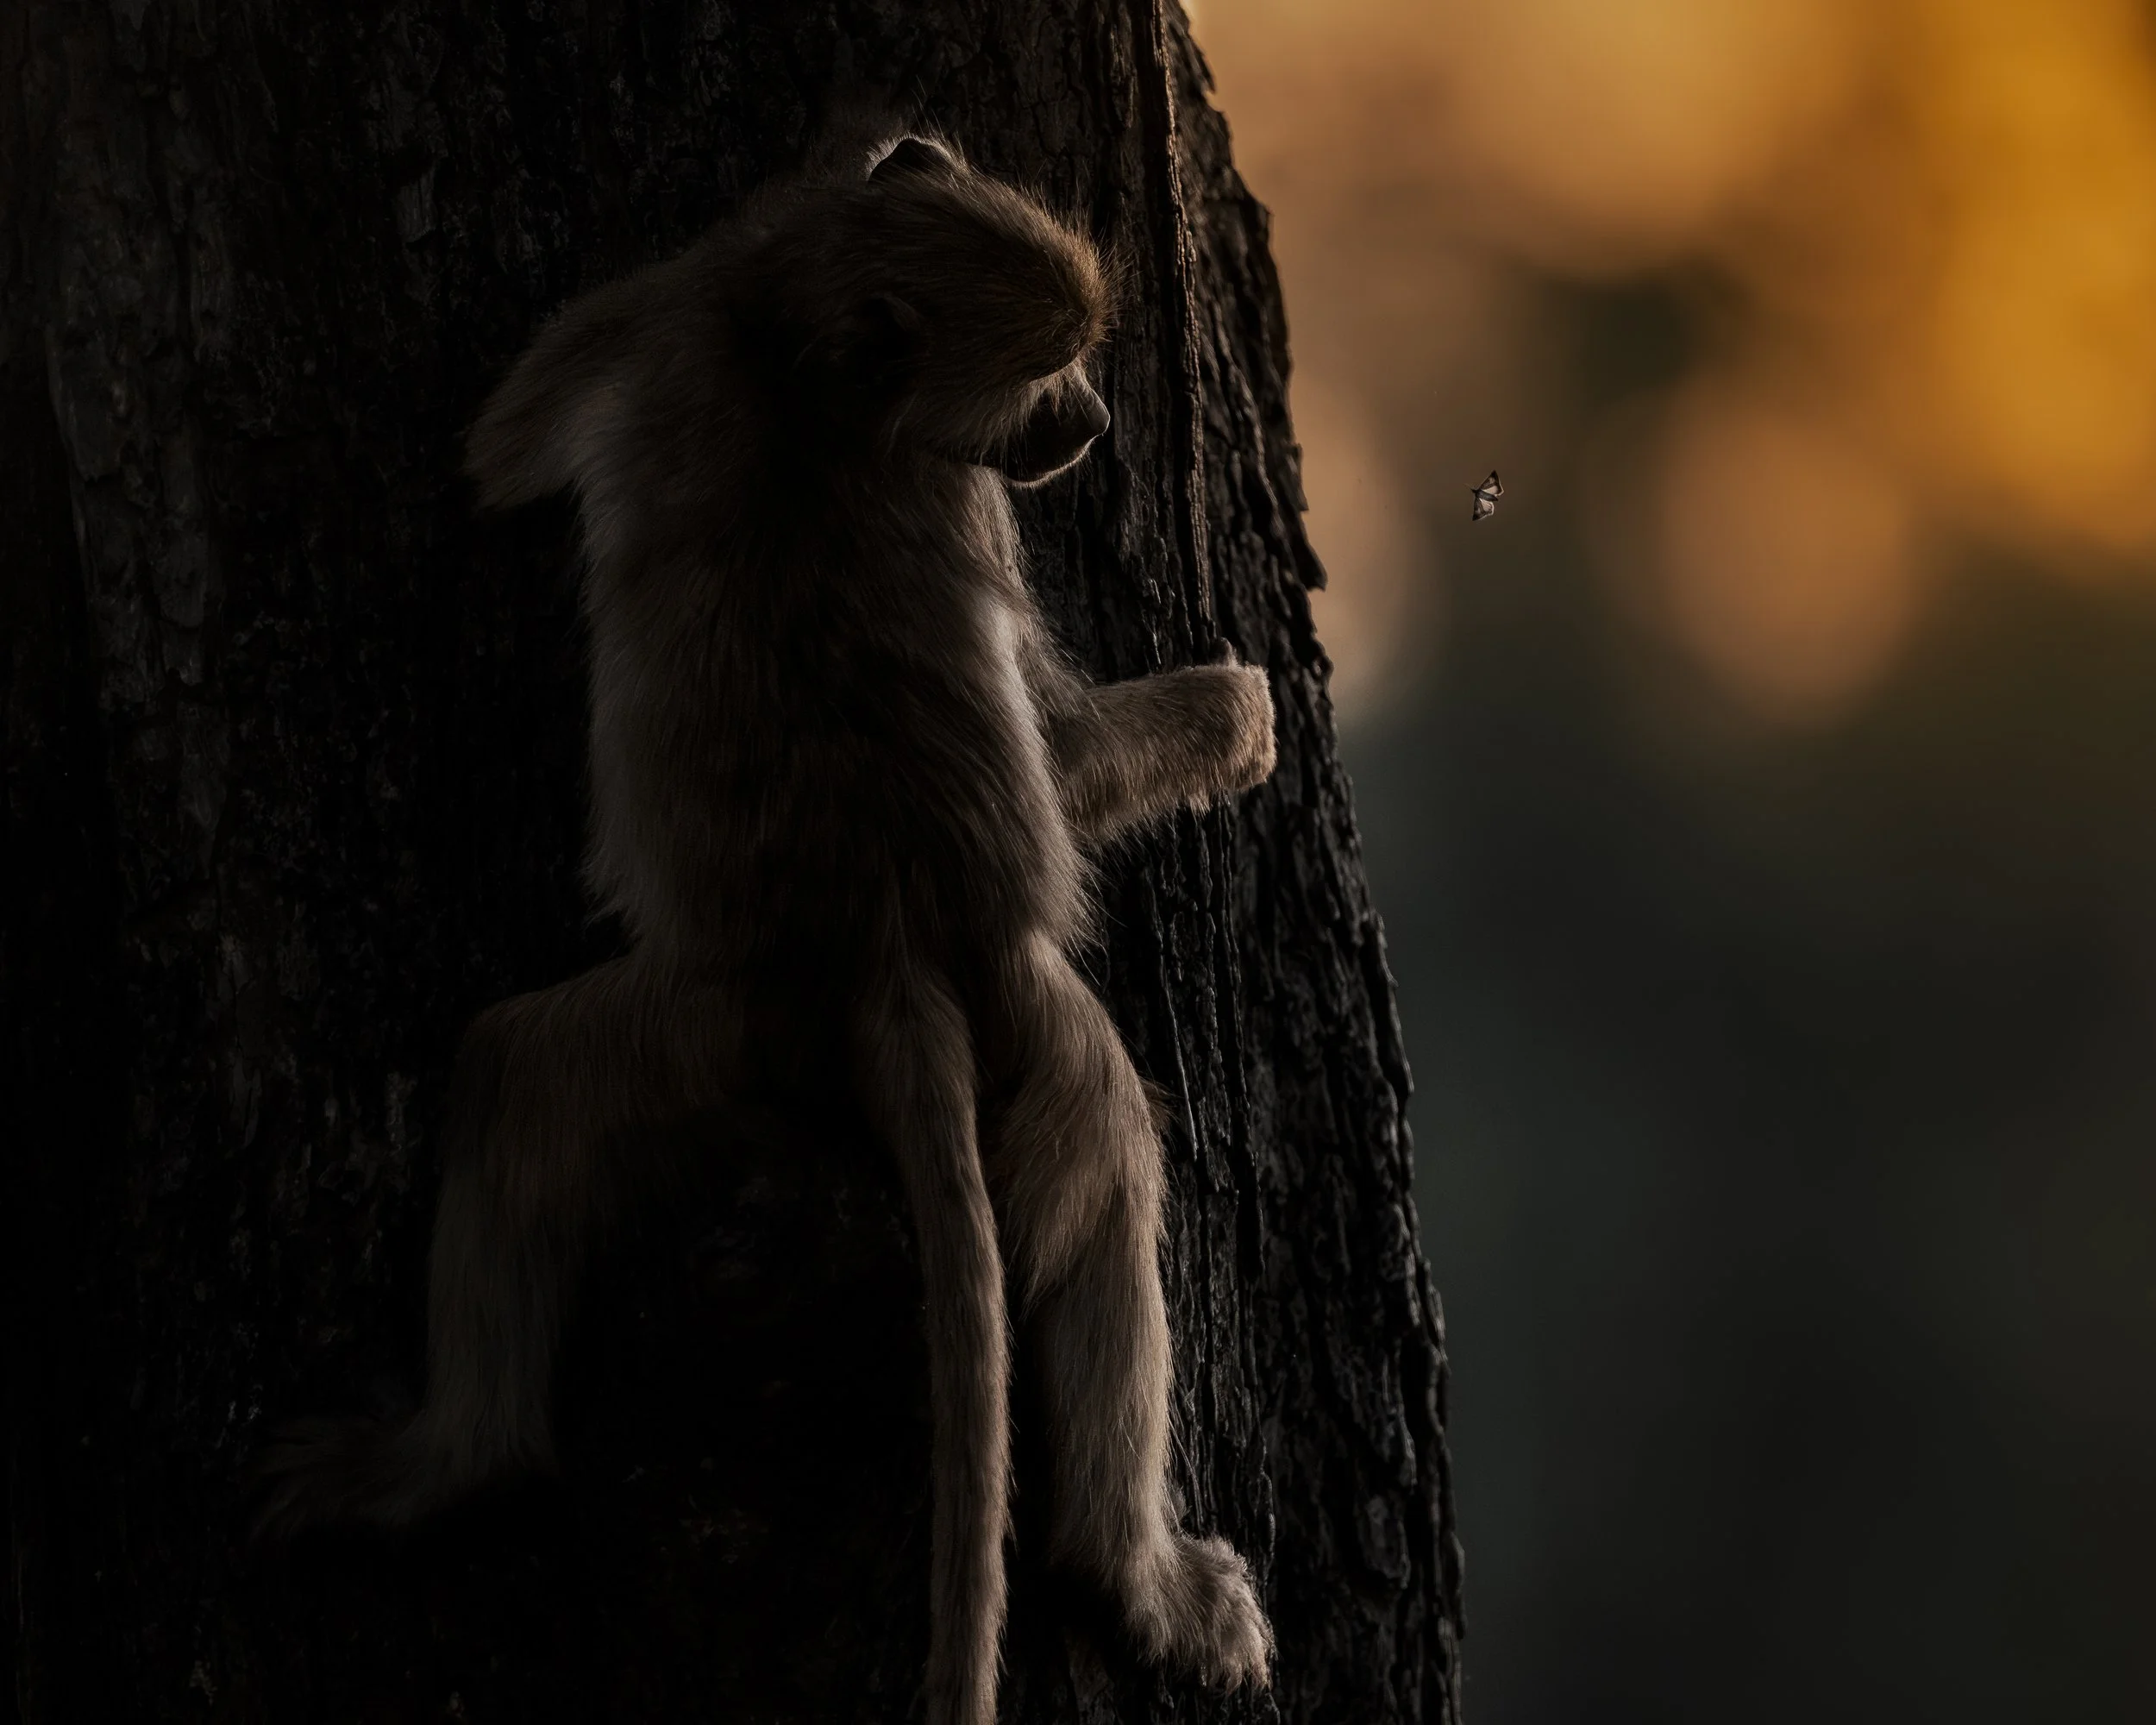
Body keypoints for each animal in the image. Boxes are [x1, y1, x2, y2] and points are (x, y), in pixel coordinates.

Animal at [257, 128, 1277, 1725]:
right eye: (1042, 378)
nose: (1096, 420)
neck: (791, 349)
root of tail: (887, 958)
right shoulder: (932, 469)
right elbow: (1057, 769)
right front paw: (1236, 718)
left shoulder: (663, 334)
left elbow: (502, 449)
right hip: (829, 1027)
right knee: (1110, 1157)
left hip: (709, 1034)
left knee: (512, 1086)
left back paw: (446, 1467)